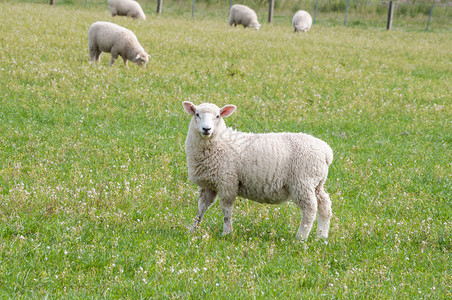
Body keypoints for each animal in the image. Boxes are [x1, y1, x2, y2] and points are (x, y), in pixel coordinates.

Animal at [182, 102, 334, 240]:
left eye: (217, 116)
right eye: (197, 114)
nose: (206, 129)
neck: (220, 142)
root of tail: (326, 151)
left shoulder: (227, 182)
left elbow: (226, 210)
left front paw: (227, 232)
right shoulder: (209, 185)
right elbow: (201, 208)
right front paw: (192, 230)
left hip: (303, 182)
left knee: (310, 209)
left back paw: (301, 237)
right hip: (317, 183)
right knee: (325, 205)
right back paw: (321, 236)